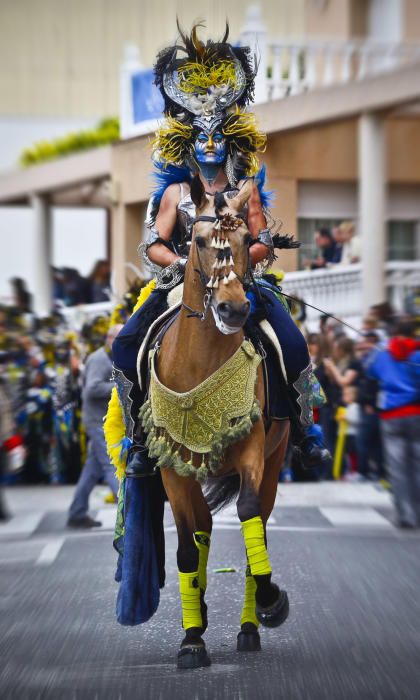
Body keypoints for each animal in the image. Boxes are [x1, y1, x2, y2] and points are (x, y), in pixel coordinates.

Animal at [141, 175, 288, 668]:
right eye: (200, 241)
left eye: (244, 241)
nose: (234, 310)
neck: (199, 361)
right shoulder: (173, 466)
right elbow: (188, 549)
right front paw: (191, 639)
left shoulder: (252, 448)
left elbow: (248, 516)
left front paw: (270, 601)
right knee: (202, 527)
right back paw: (200, 614)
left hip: (276, 458)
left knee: (256, 525)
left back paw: (249, 626)